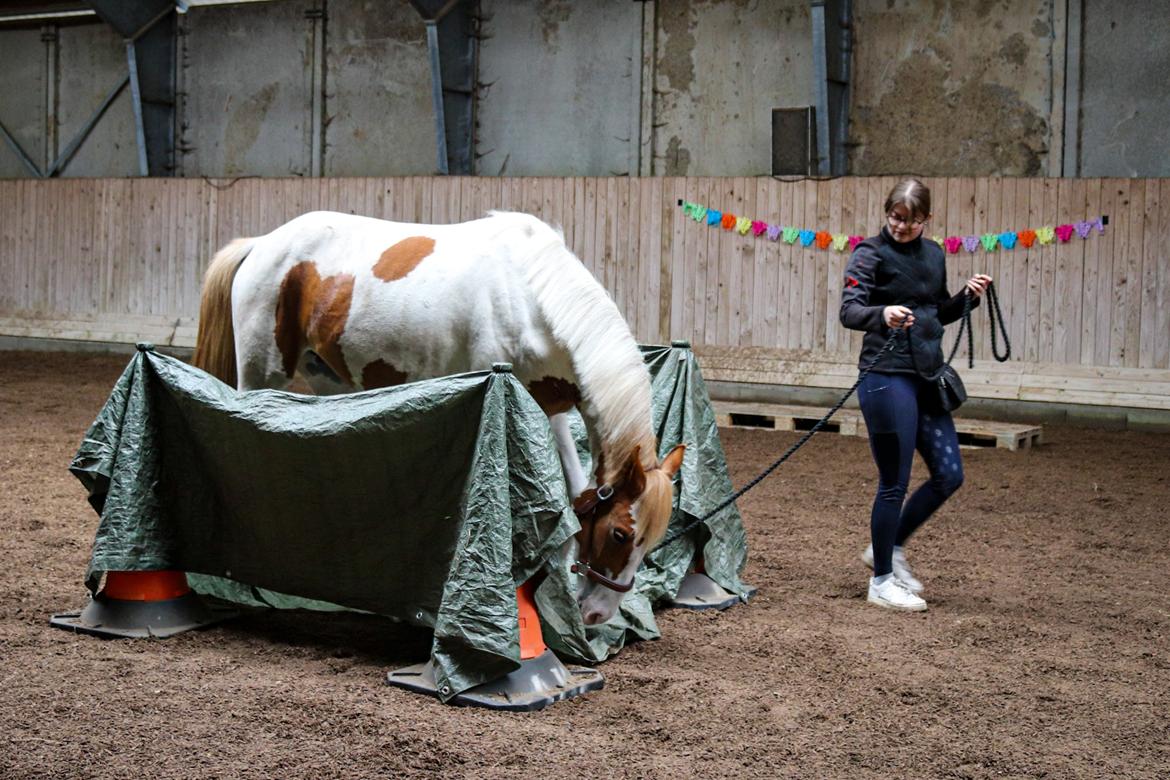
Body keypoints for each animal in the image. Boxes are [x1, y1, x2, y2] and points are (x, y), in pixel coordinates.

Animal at [191, 210, 683, 626]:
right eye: (620, 534)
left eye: (653, 539)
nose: (599, 614)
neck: (532, 298)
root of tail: (261, 244)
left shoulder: (555, 412)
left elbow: (574, 494)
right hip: (260, 377)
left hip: (326, 380)